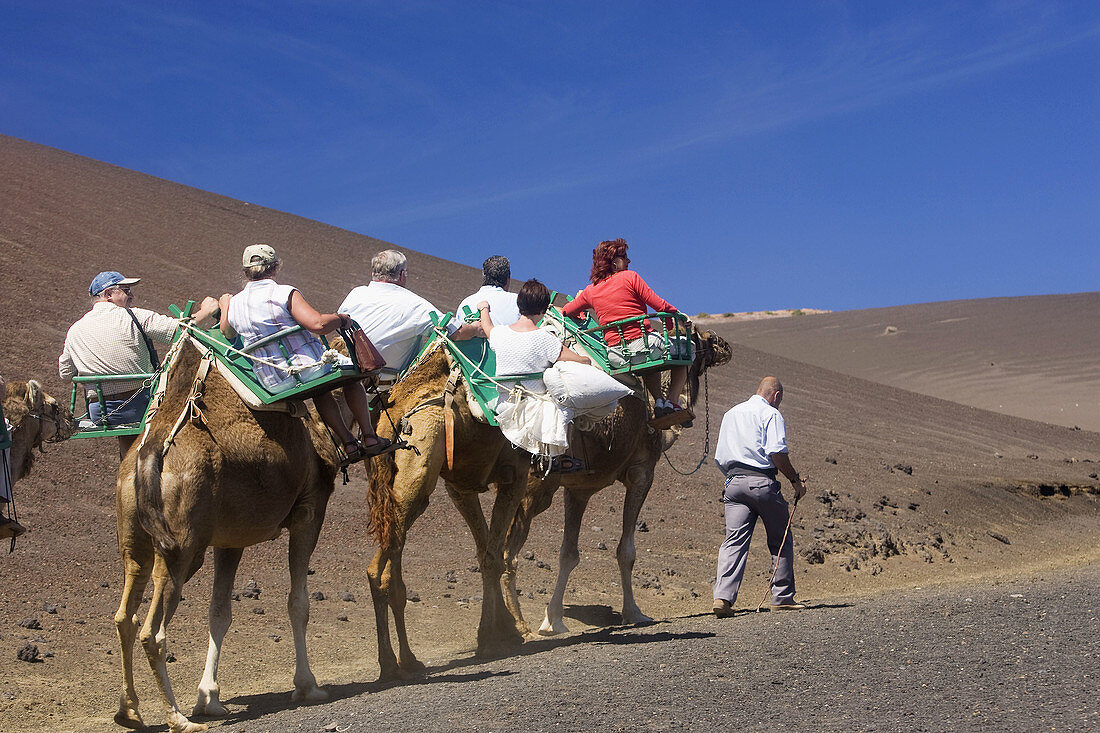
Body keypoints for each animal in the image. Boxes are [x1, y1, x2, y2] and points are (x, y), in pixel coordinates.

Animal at [113, 332, 338, 730]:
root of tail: (149, 454)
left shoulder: (229, 539)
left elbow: (219, 612)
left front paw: (210, 698)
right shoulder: (310, 511)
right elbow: (298, 603)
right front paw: (308, 686)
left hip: (138, 541)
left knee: (126, 616)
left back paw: (130, 710)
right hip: (181, 547)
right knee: (152, 631)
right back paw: (178, 719)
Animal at [365, 338, 532, 677]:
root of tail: (393, 417)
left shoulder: (460, 486)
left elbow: (485, 553)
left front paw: (504, 630)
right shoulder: (515, 474)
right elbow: (493, 556)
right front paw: (493, 638)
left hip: (400, 489)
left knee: (388, 568)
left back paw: (403, 660)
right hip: (418, 472)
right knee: (381, 568)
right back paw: (392, 663)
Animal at [503, 325, 730, 633]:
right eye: (701, 336)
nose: (726, 346)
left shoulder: (578, 489)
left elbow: (568, 554)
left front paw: (554, 619)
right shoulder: (642, 471)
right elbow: (626, 551)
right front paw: (634, 613)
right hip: (535, 488)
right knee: (508, 553)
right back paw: (516, 624)